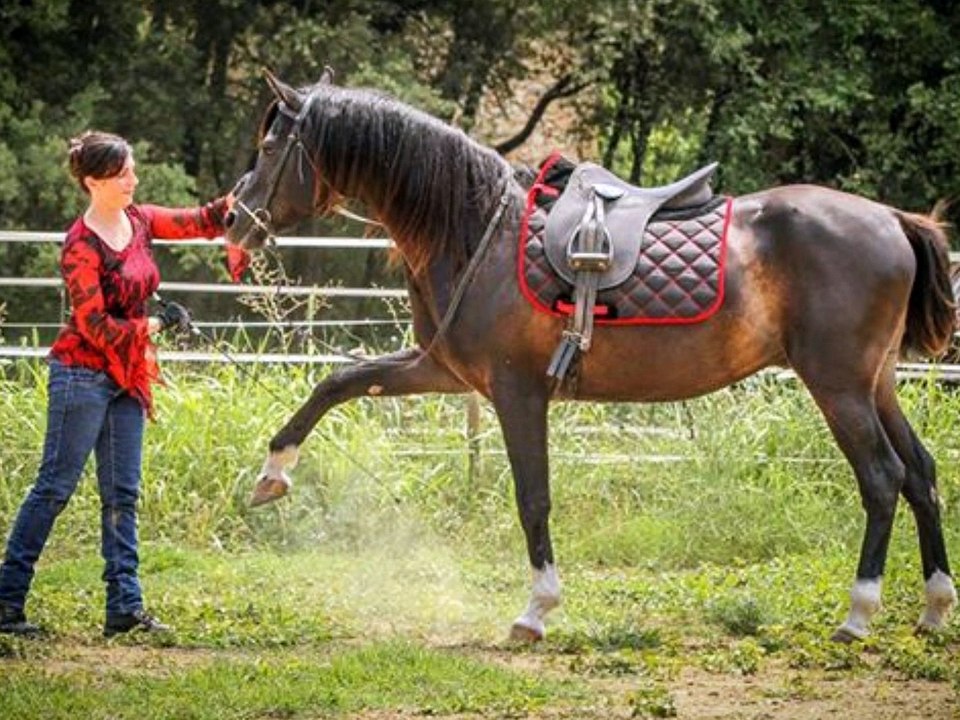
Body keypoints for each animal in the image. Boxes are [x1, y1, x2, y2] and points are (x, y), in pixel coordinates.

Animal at [224, 69, 957, 643]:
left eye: (270, 145)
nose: (231, 218)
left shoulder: (517, 391)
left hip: (837, 386)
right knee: (920, 473)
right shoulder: (440, 369)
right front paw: (272, 473)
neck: (476, 227)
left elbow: (533, 497)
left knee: (883, 477)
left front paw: (536, 608)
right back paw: (933, 606)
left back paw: (859, 614)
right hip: (875, 384)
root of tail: (893, 219)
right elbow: (339, 381)